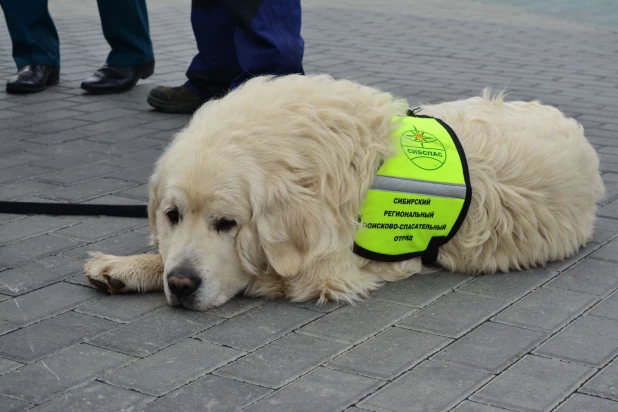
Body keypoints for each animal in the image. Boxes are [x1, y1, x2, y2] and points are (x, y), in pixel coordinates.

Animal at [84, 75, 604, 310]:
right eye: (172, 215)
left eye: (227, 224)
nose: (182, 285)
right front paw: (129, 265)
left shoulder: (329, 272)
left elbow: (260, 272)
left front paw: (134, 268)